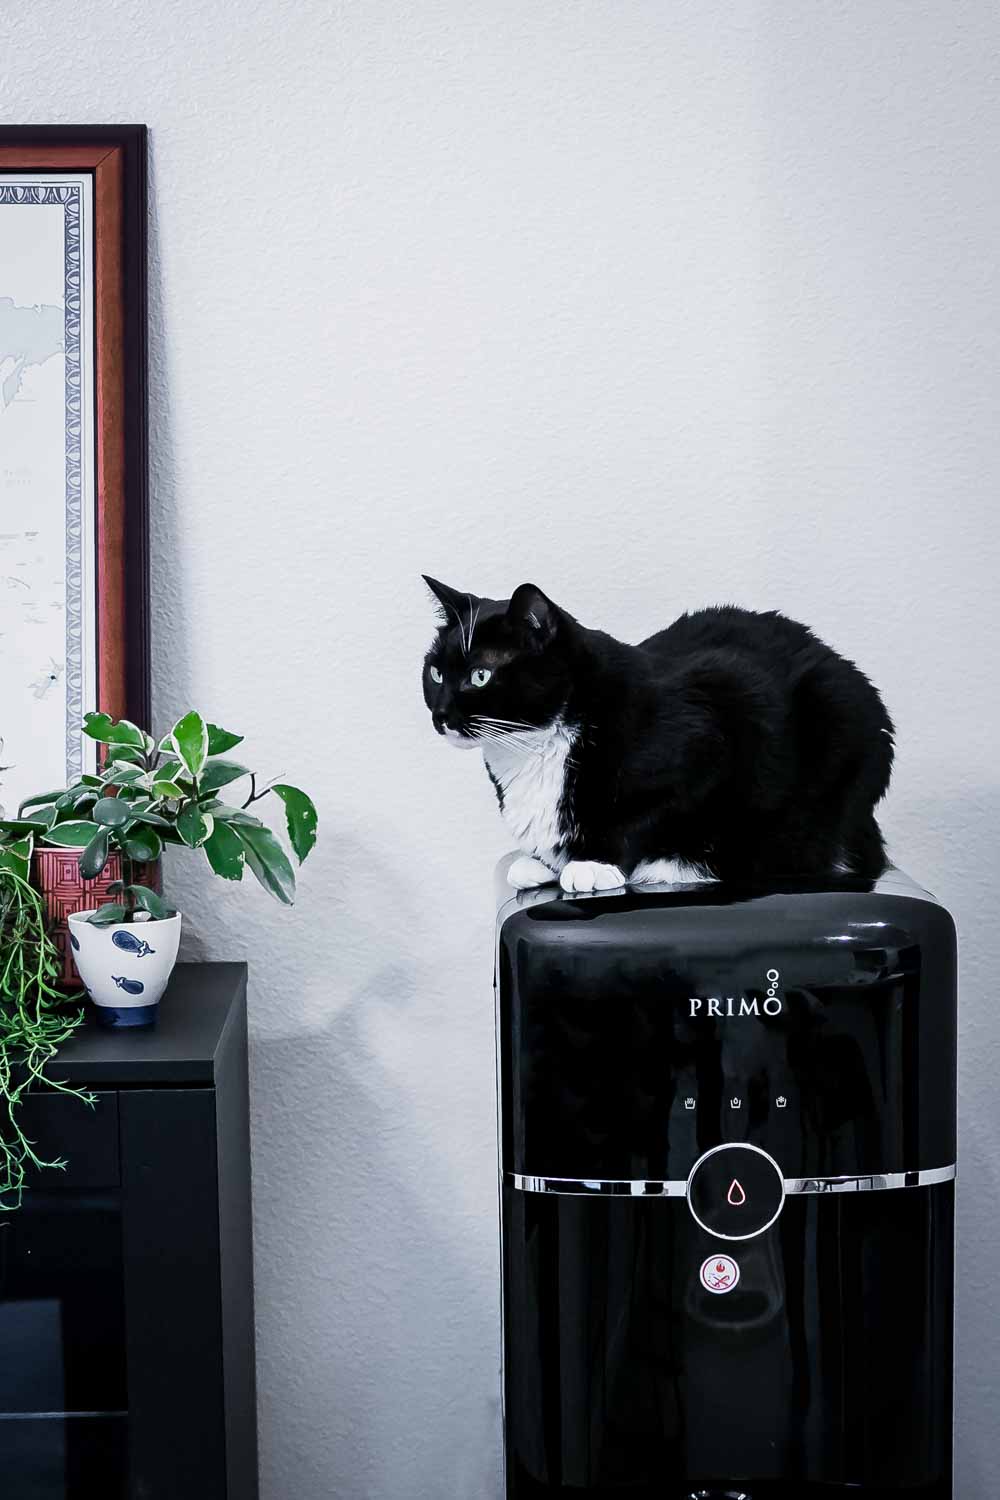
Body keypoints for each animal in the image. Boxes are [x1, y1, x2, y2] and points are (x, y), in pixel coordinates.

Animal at [419, 576, 893, 888]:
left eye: (481, 676)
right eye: (436, 672)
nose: (440, 715)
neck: (535, 747)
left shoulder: (711, 738)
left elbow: (649, 813)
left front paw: (594, 863)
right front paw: (540, 861)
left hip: (841, 723)